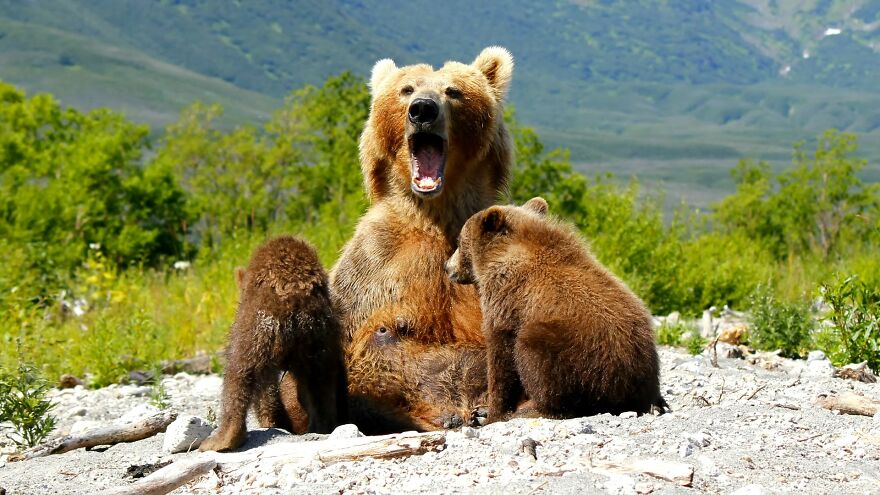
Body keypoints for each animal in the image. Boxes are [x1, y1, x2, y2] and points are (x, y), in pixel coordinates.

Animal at [199, 236, 348, 452]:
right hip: (319, 337)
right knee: (321, 383)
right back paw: (321, 426)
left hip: (256, 329)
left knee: (238, 373)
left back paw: (222, 439)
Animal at [445, 197, 666, 422]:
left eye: (458, 241)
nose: (447, 267)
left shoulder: (507, 299)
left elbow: (501, 355)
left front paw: (493, 413)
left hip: (583, 354)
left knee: (537, 359)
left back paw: (529, 409)